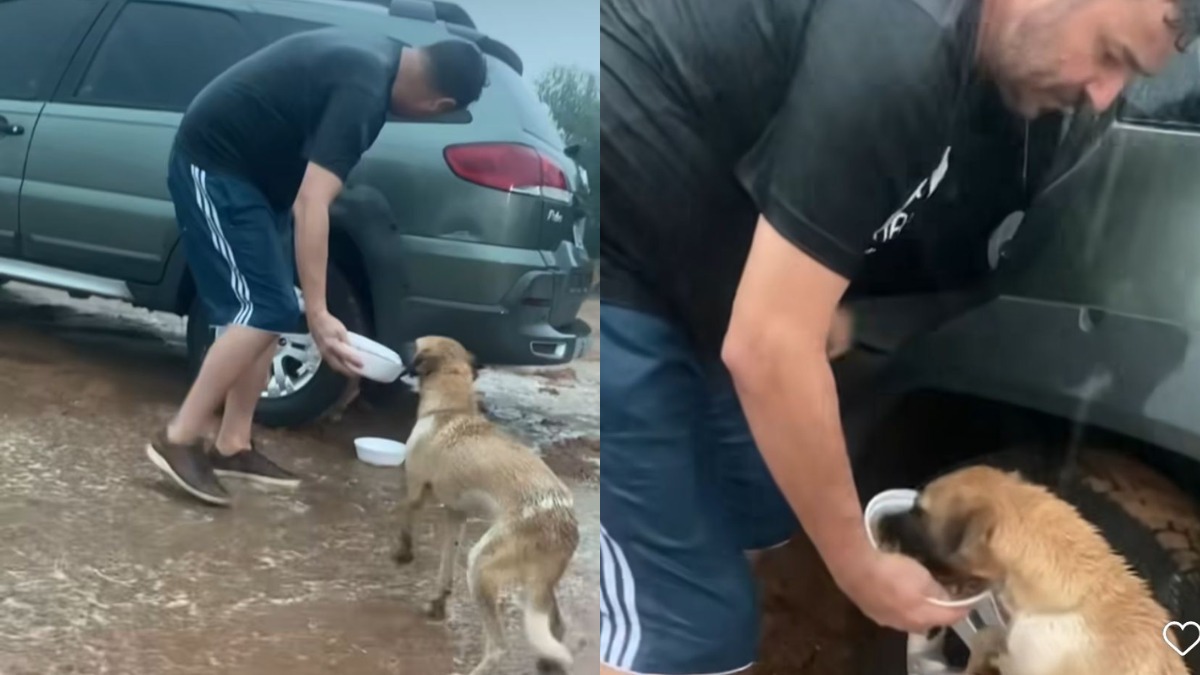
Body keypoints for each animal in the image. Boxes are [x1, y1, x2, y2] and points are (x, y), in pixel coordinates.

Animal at [396, 333, 578, 672]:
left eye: (413, 343)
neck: (450, 408)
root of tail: (562, 523)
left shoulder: (416, 489)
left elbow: (405, 519)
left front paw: (403, 554)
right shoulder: (456, 514)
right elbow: (445, 568)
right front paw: (438, 603)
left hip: (482, 565)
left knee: (499, 648)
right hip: (537, 585)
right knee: (557, 628)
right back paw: (548, 664)